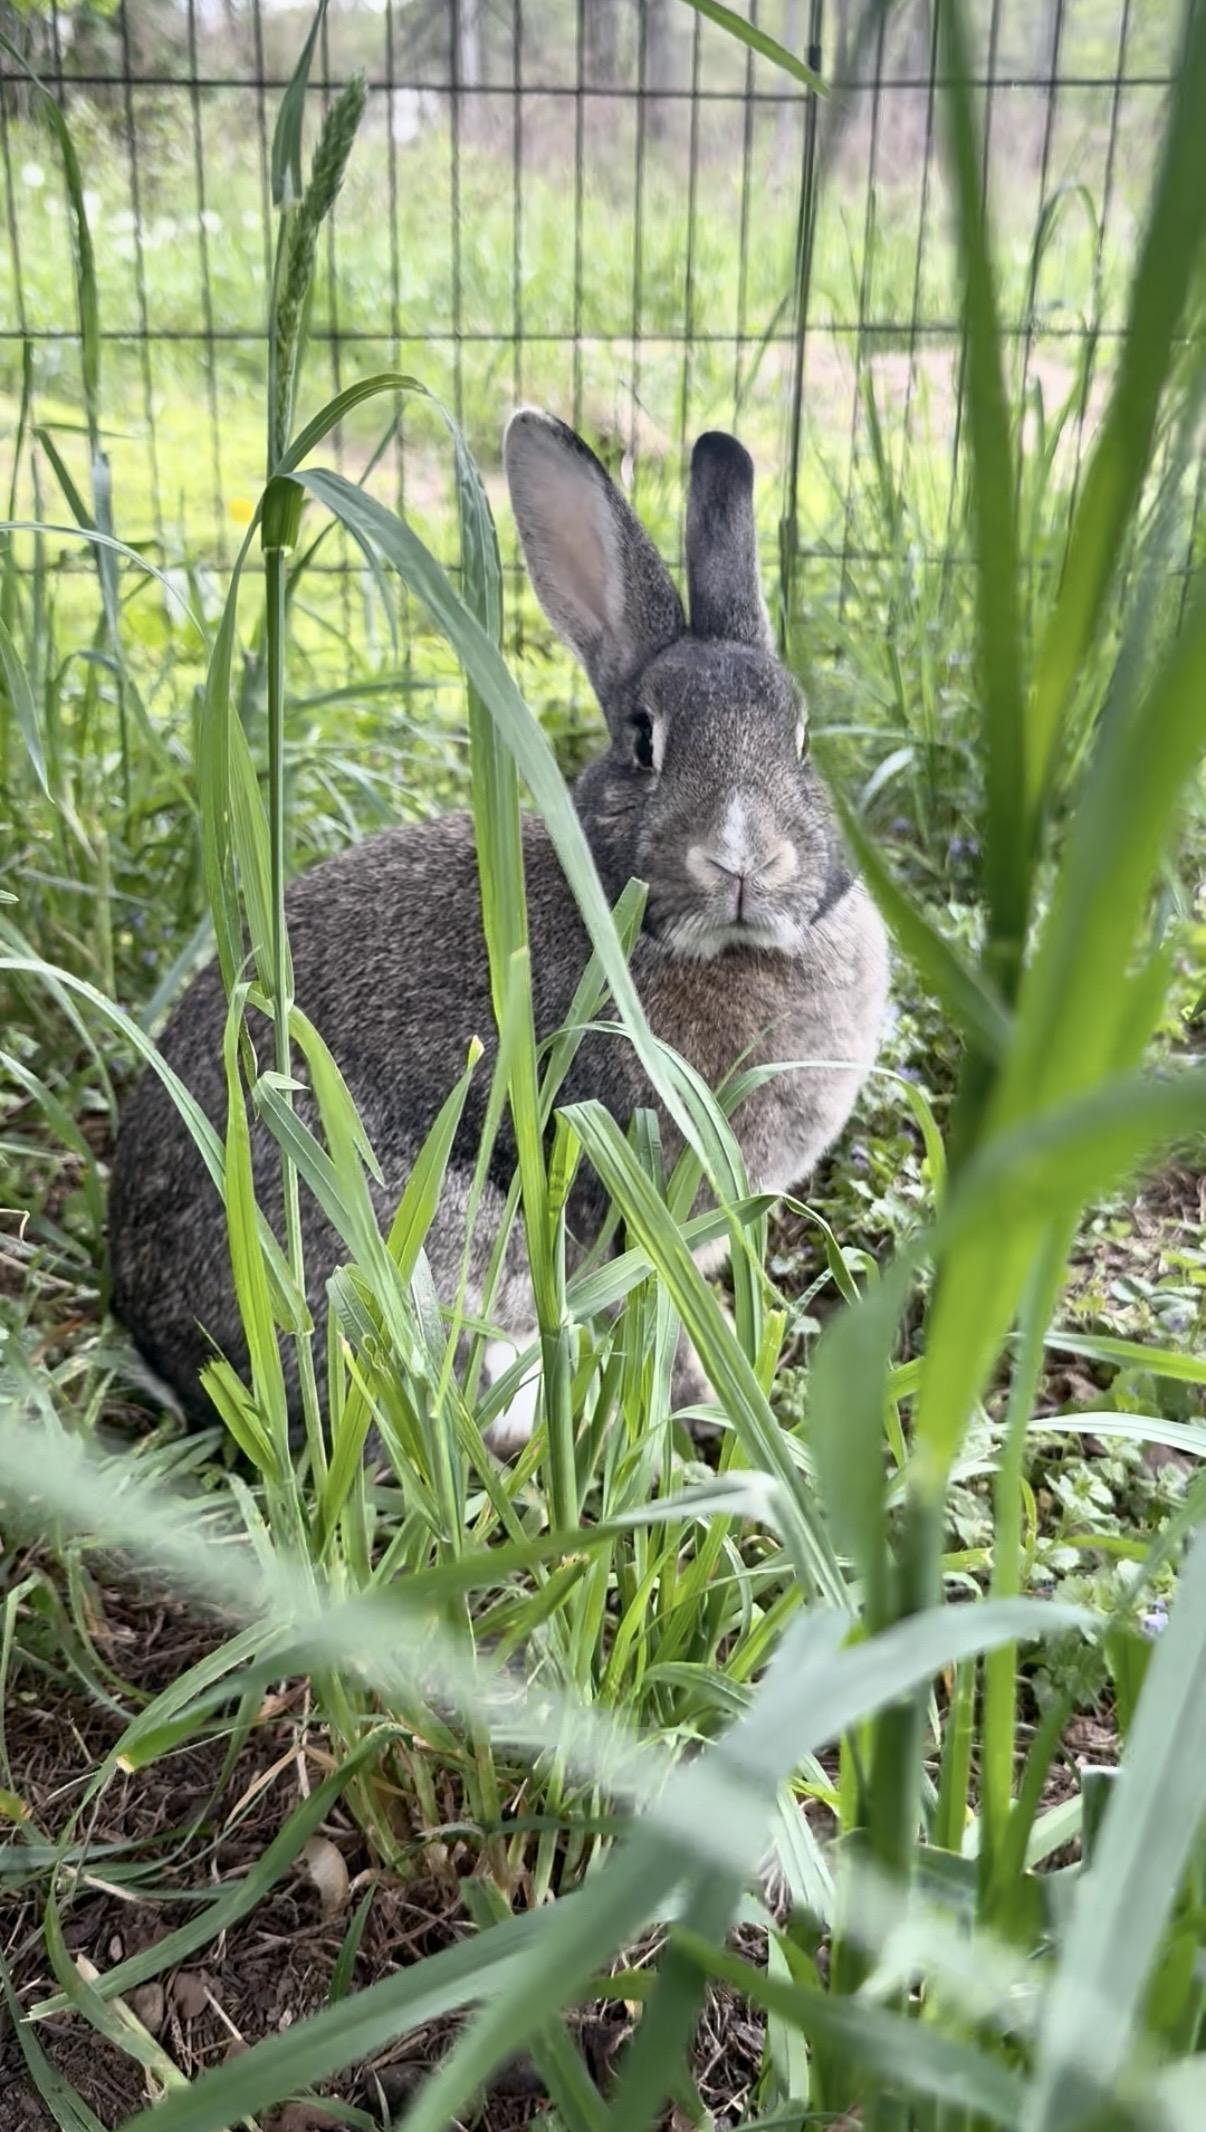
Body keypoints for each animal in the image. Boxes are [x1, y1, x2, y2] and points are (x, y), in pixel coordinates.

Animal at [109, 412, 890, 1453]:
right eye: (643, 740)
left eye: (801, 740)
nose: (741, 858)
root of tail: (167, 1349)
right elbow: (662, 1315)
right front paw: (720, 1401)